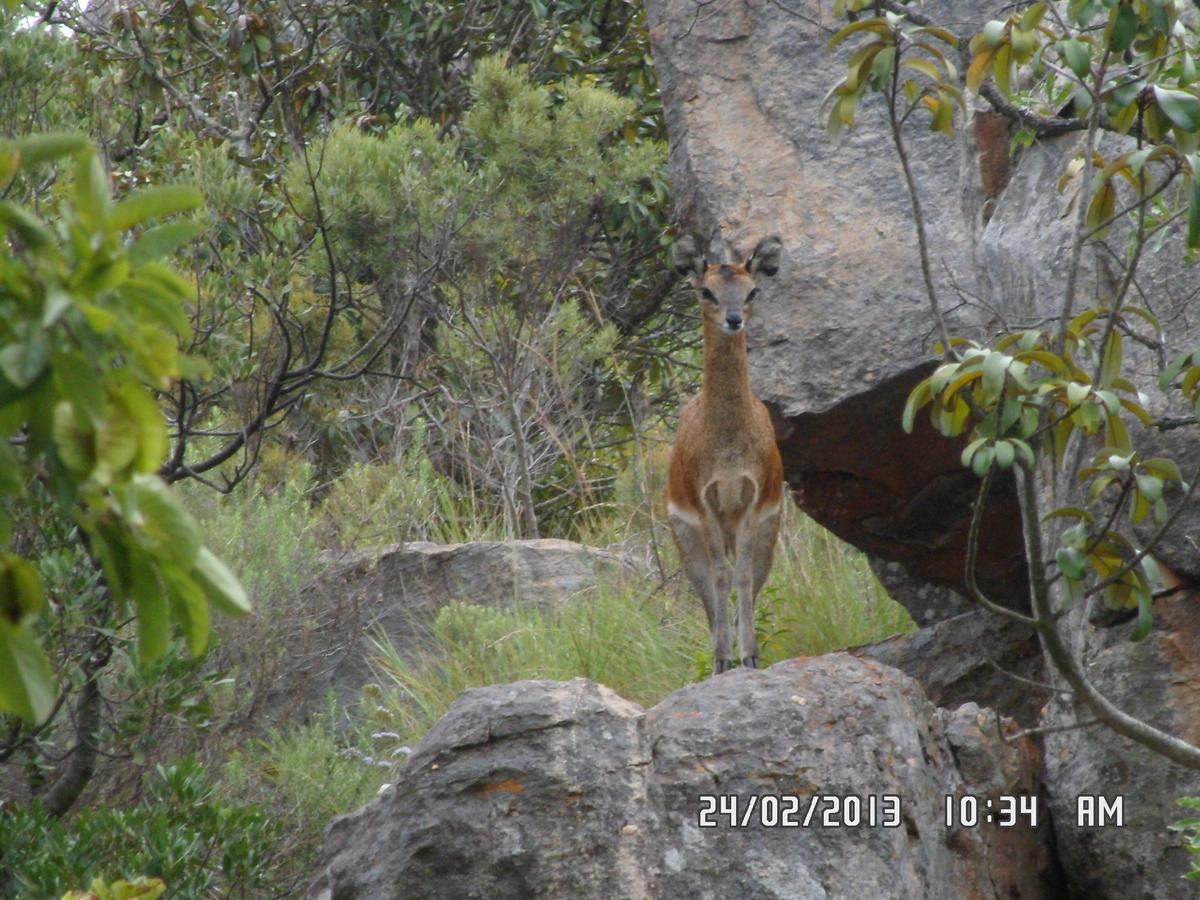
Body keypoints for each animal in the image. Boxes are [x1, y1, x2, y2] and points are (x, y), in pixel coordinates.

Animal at [662, 232, 782, 676]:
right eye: (706, 290)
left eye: (752, 291)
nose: (734, 319)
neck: (728, 449)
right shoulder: (705, 502)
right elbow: (720, 577)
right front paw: (723, 659)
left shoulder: (753, 502)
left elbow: (742, 576)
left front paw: (750, 656)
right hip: (684, 537)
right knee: (708, 594)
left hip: (769, 531)